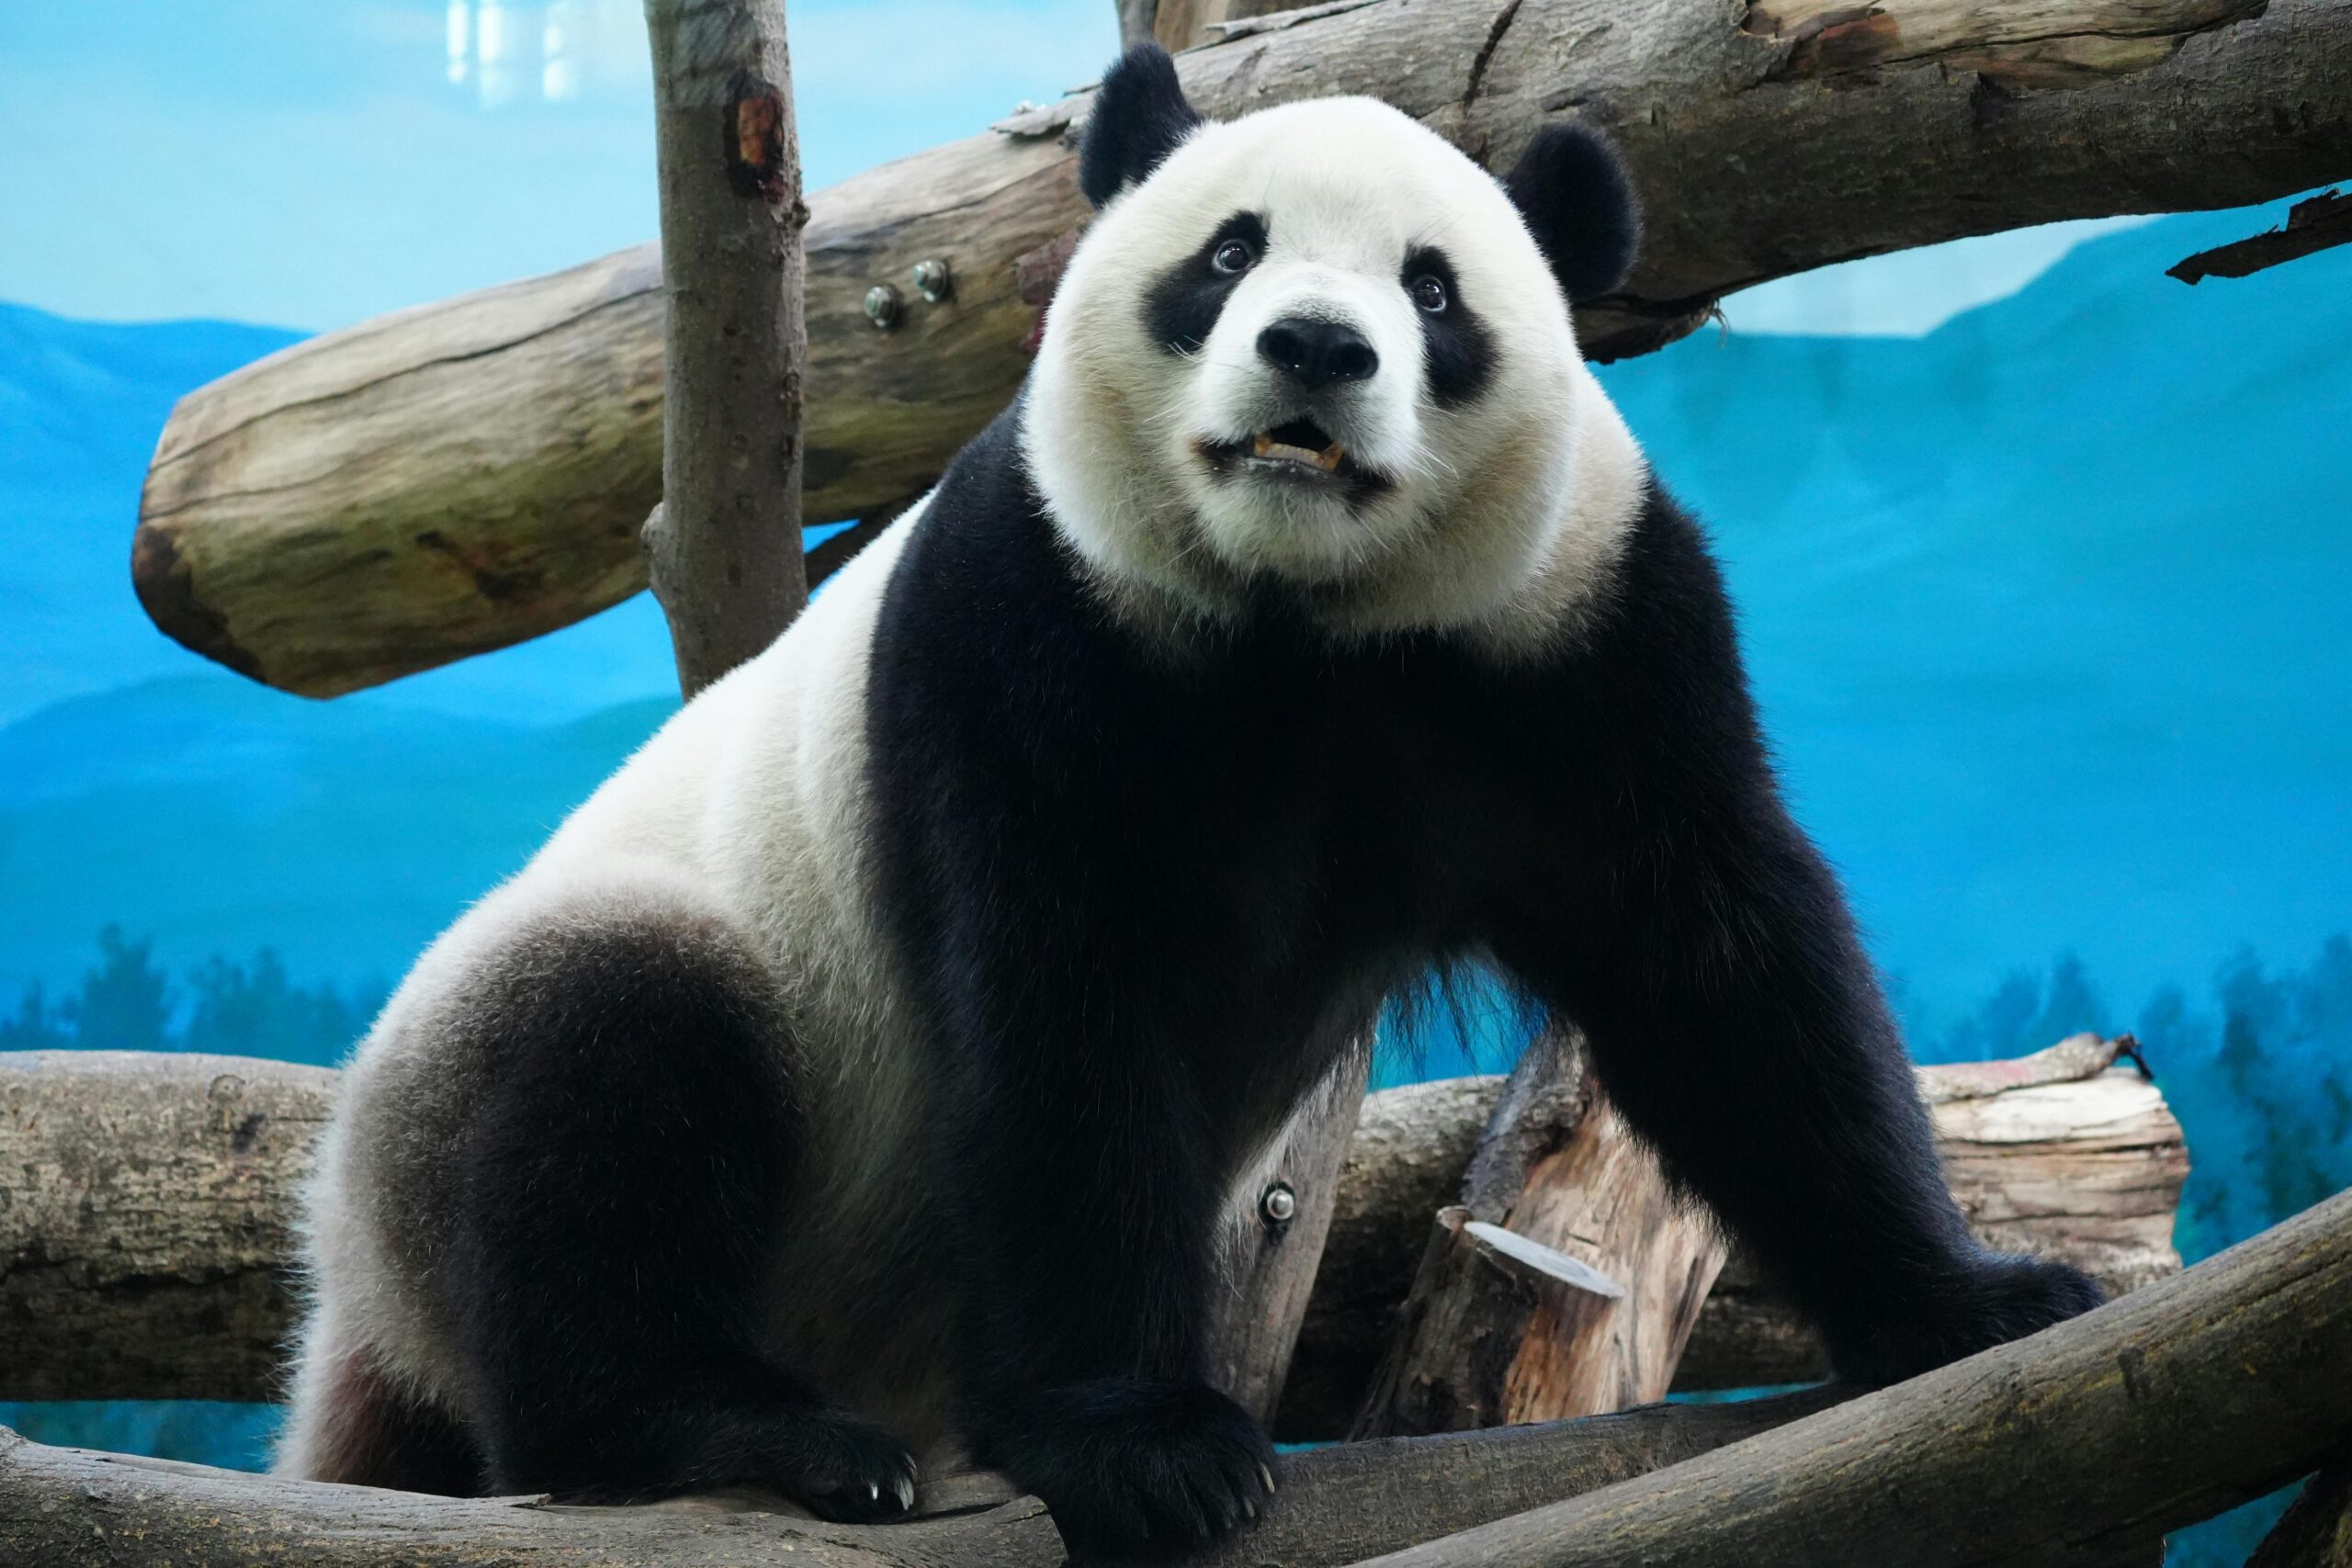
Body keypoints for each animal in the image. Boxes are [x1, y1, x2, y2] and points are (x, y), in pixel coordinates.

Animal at [278, 43, 2102, 1560]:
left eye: (1433, 289)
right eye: (1226, 254)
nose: (1315, 347)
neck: (1307, 617)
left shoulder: (1573, 634)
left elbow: (1715, 954)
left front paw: (1970, 1300)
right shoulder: (1036, 619)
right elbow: (1061, 996)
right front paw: (1147, 1446)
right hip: (493, 1090)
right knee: (599, 1082)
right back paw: (739, 1431)